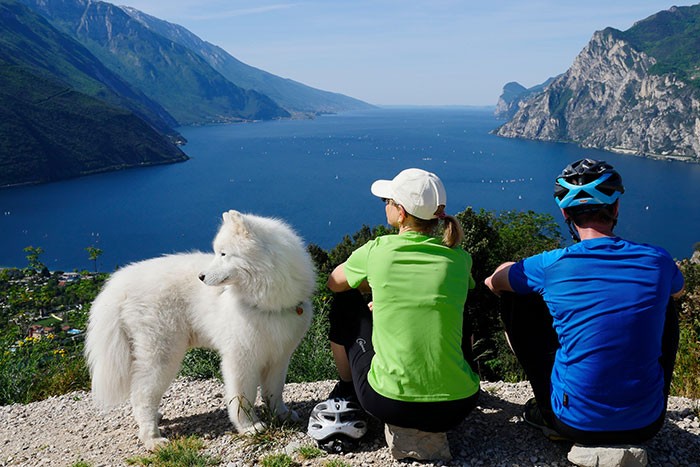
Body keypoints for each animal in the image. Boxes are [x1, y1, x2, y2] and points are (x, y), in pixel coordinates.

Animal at [85, 211, 318, 450]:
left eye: (223, 254)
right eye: (217, 252)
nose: (201, 277)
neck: (266, 302)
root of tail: (119, 283)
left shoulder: (279, 355)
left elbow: (275, 391)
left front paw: (281, 415)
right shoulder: (241, 358)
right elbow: (243, 395)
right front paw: (249, 426)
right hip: (162, 355)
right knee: (142, 393)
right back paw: (152, 438)